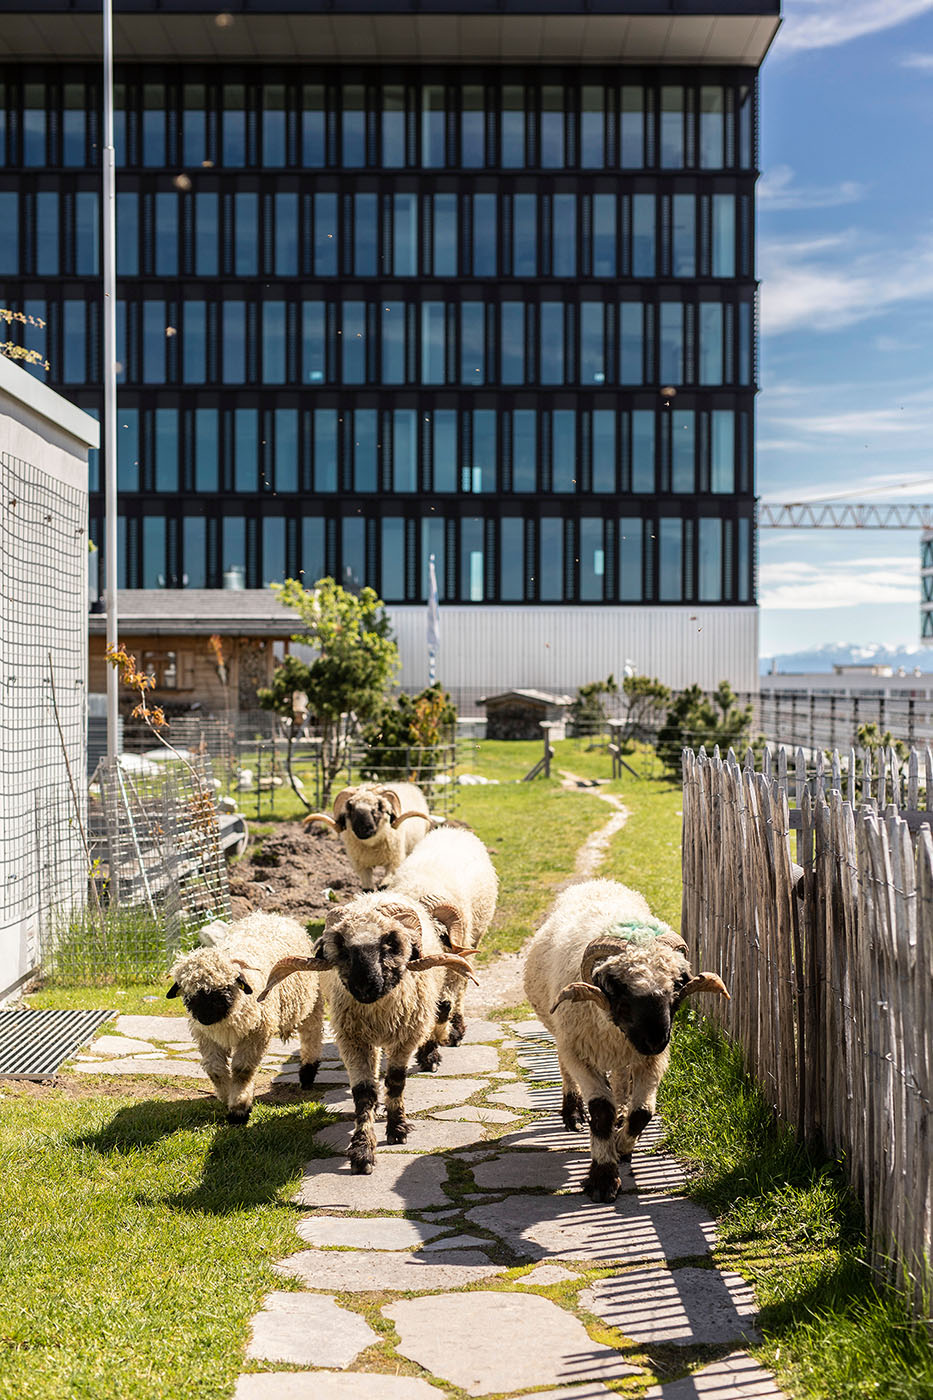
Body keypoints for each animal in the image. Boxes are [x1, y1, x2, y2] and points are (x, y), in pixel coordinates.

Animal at [166, 907, 323, 1125]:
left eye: (225, 989)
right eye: (189, 994)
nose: (205, 1017)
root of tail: (270, 914)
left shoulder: (257, 1033)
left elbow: (242, 1070)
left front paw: (239, 1108)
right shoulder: (206, 1037)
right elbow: (215, 1070)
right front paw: (226, 1096)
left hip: (311, 1000)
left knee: (311, 1033)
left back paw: (307, 1073)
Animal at [256, 890, 476, 1176]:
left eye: (391, 941)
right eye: (340, 944)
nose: (364, 985)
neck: (378, 1011)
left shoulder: (405, 1037)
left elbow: (396, 1082)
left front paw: (397, 1129)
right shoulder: (353, 1040)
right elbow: (364, 1095)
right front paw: (362, 1152)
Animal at [303, 784, 437, 890]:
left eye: (377, 808)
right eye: (351, 808)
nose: (363, 829)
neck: (372, 847)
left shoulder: (393, 862)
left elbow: (385, 885)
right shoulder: (362, 867)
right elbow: (367, 889)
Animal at [381, 823, 498, 1064]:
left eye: (438, 935)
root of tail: (451, 829)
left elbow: (444, 1007)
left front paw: (432, 1052)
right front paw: (428, 1052)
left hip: (474, 939)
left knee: (460, 992)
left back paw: (457, 1029)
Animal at [523, 884, 728, 1204]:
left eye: (677, 985)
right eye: (619, 986)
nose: (655, 1039)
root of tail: (598, 882)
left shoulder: (651, 1060)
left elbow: (643, 1111)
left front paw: (621, 1145)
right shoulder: (580, 1052)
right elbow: (601, 1111)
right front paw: (603, 1179)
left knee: (620, 1081)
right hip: (561, 1033)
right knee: (564, 1066)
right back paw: (572, 1113)